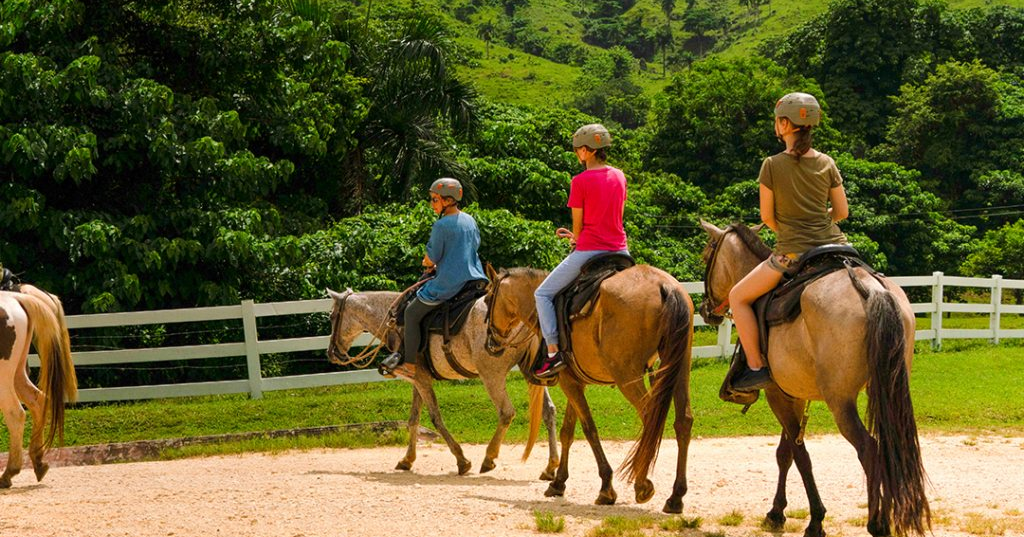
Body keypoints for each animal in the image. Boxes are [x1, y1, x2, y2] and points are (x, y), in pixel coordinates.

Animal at [0, 289, 77, 488]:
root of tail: (15, 298)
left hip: (4, 378)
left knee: (16, 414)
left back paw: (9, 473)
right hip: (17, 374)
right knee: (38, 402)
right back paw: (38, 461)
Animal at [325, 288, 560, 479]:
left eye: (331, 316)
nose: (332, 353)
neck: (397, 323)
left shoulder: (421, 379)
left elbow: (435, 418)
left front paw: (462, 460)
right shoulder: (418, 380)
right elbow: (413, 419)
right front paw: (407, 459)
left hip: (491, 375)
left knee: (506, 412)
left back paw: (489, 458)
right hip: (530, 371)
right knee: (548, 411)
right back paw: (551, 467)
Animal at [486, 263, 695, 512]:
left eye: (487, 299)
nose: (490, 343)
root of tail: (664, 286)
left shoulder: (569, 382)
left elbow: (589, 429)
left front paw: (606, 487)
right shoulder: (575, 382)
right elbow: (567, 431)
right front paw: (558, 482)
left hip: (627, 376)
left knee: (651, 420)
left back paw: (642, 485)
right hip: (680, 367)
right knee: (683, 422)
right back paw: (675, 497)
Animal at [695, 221, 930, 537]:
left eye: (706, 256)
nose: (705, 309)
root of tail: (869, 289)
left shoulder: (777, 394)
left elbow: (800, 455)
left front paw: (815, 520)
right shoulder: (793, 394)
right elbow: (785, 453)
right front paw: (777, 512)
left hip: (841, 401)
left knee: (869, 449)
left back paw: (878, 522)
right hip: (886, 389)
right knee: (889, 447)